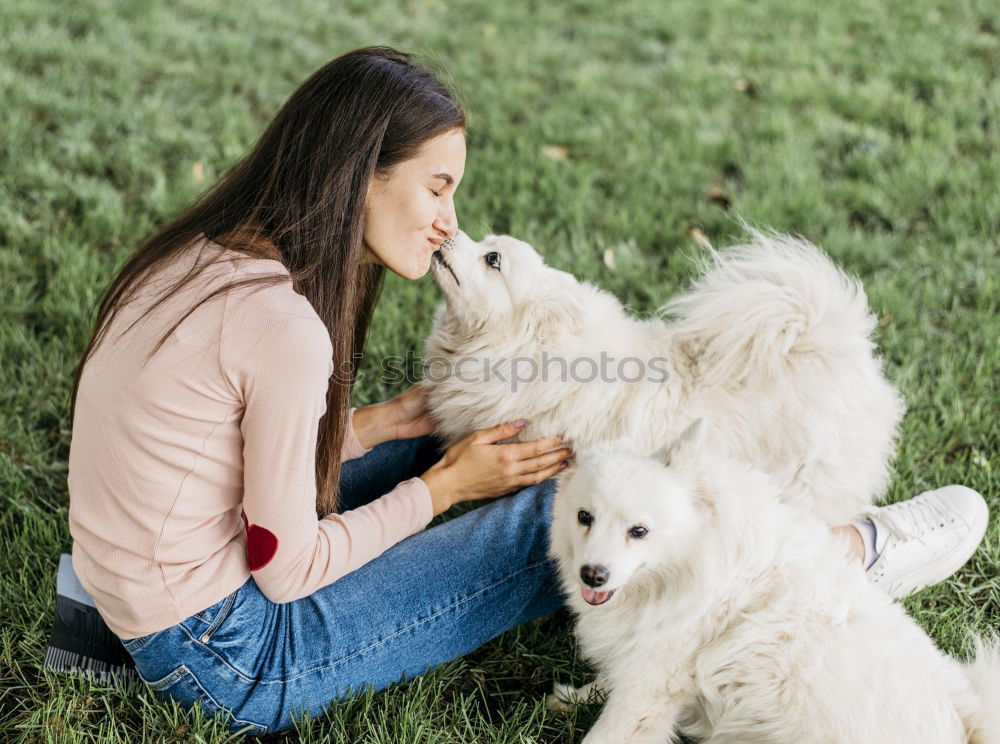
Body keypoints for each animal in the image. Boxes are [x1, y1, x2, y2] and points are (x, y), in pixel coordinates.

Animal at [548, 418, 1000, 744]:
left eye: (639, 531)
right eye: (584, 516)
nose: (592, 574)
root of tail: (964, 722)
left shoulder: (651, 685)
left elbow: (607, 732)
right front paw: (575, 697)